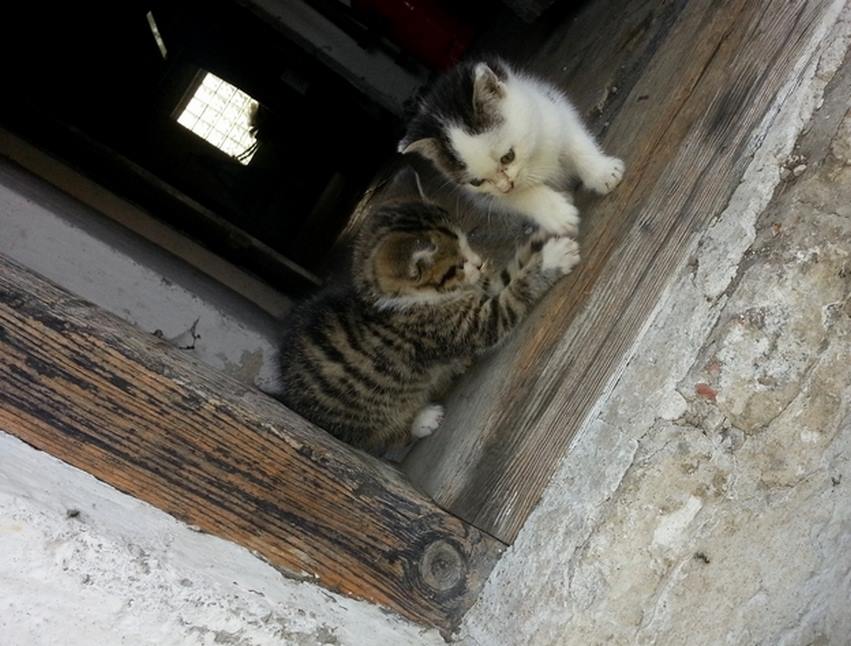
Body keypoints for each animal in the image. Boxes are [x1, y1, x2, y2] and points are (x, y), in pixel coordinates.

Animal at [276, 199, 580, 453]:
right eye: (458, 265)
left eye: (467, 241)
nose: (479, 262)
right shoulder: (458, 327)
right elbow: (509, 299)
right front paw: (552, 259)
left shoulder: (477, 290)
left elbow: (505, 276)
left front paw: (545, 235)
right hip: (372, 414)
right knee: (379, 440)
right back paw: (423, 420)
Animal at [398, 59, 624, 236]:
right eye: (477, 182)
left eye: (508, 157)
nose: (506, 186)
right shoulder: (485, 196)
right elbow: (519, 196)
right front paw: (558, 214)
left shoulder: (552, 109)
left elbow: (575, 144)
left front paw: (604, 173)